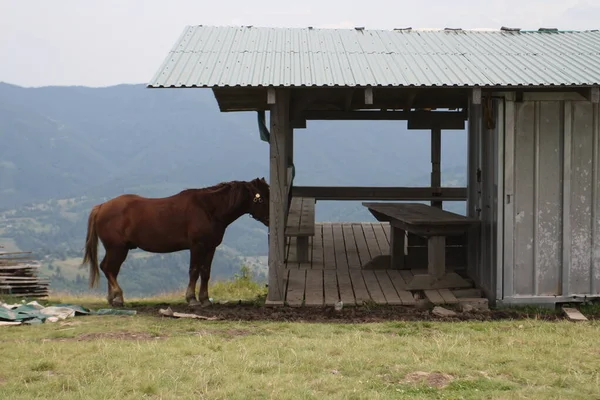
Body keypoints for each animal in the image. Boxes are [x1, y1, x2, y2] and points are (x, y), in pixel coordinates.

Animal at [81, 178, 270, 306]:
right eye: (261, 198)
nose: (271, 219)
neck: (208, 208)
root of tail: (101, 207)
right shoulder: (197, 246)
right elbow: (194, 271)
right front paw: (192, 299)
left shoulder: (210, 248)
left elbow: (205, 272)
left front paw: (205, 299)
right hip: (117, 248)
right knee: (108, 268)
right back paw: (118, 296)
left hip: (116, 249)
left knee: (110, 269)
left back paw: (112, 298)